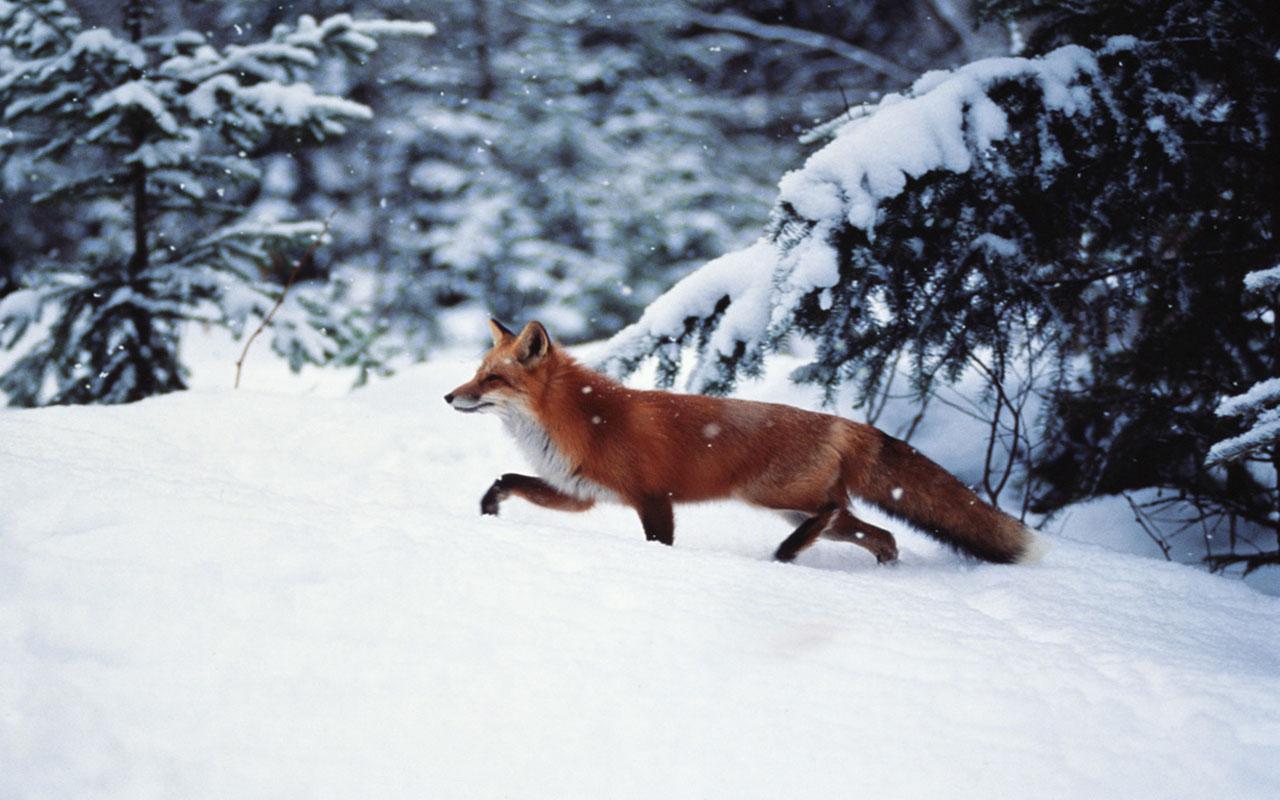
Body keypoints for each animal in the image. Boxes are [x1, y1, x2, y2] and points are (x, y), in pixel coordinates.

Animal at [445, 320, 1044, 568]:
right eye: (476, 372)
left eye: (492, 379)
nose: (450, 396)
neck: (584, 417)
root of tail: (845, 422)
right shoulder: (580, 494)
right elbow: (507, 481)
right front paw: (487, 511)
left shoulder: (653, 498)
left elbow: (659, 544)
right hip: (793, 505)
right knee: (881, 534)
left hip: (771, 496)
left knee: (834, 511)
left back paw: (787, 554)